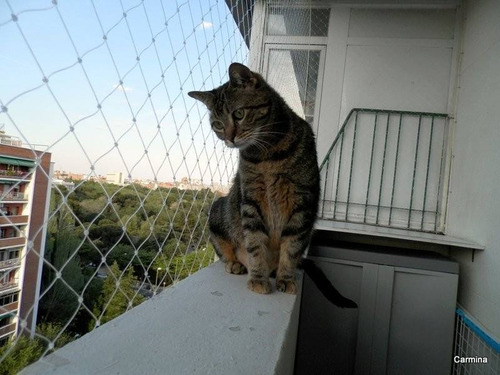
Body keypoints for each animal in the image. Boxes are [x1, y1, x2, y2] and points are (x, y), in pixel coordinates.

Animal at [188, 63, 320, 296]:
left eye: (239, 114)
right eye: (217, 125)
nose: (229, 138)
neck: (267, 156)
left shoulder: (303, 202)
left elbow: (292, 247)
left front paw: (286, 278)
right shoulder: (251, 201)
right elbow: (255, 244)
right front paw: (258, 278)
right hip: (218, 212)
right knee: (224, 250)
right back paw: (236, 264)